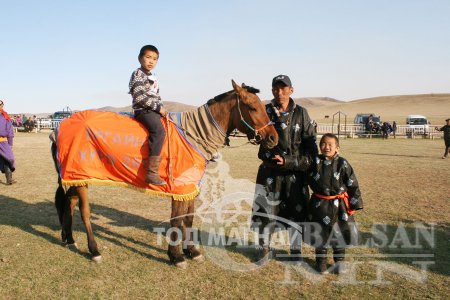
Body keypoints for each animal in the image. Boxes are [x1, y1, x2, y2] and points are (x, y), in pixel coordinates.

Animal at [51, 79, 278, 268]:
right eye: (253, 107)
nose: (273, 138)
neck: (193, 135)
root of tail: (58, 128)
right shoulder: (179, 189)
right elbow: (177, 220)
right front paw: (176, 255)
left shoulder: (189, 187)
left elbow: (188, 219)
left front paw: (191, 251)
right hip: (81, 176)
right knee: (84, 212)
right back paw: (94, 250)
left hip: (77, 176)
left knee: (69, 202)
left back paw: (69, 239)